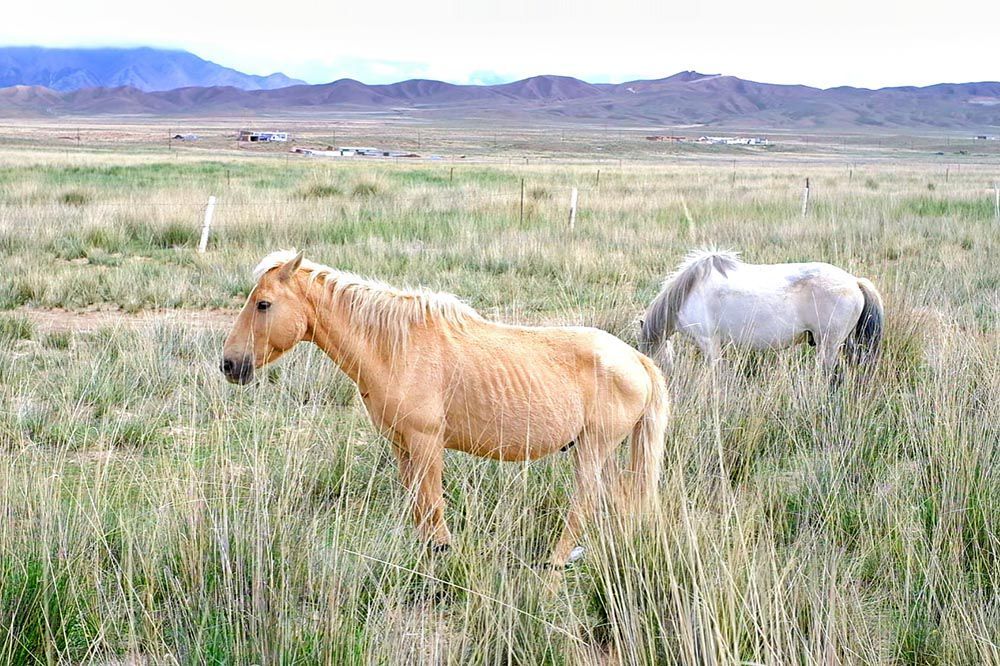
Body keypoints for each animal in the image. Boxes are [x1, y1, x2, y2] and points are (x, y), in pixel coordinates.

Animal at [223, 249, 668, 564]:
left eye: (263, 304)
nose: (229, 364)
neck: (397, 346)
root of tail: (636, 359)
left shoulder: (427, 444)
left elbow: (433, 507)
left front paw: (442, 553)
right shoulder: (402, 446)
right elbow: (417, 506)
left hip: (593, 449)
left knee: (585, 503)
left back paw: (556, 562)